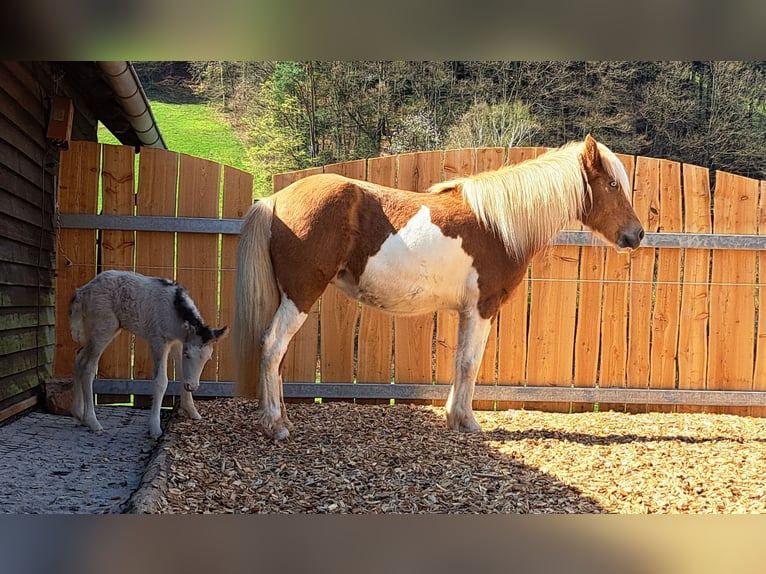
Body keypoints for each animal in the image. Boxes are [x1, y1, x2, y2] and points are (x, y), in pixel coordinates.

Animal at [69, 270, 229, 438]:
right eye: (188, 355)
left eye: (207, 359)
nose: (193, 386)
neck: (173, 312)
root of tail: (82, 292)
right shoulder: (157, 340)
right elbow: (161, 381)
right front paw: (155, 428)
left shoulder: (177, 342)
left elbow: (182, 374)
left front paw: (192, 412)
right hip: (103, 327)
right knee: (88, 366)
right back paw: (93, 422)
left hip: (105, 329)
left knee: (79, 359)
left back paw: (78, 415)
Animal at [234, 134, 644, 441]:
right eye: (612, 184)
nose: (636, 234)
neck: (498, 225)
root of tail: (273, 201)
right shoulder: (483, 307)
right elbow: (470, 362)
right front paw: (467, 420)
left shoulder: (467, 310)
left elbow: (460, 360)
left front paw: (454, 417)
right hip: (301, 294)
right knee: (272, 347)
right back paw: (274, 425)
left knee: (277, 354)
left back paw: (282, 419)